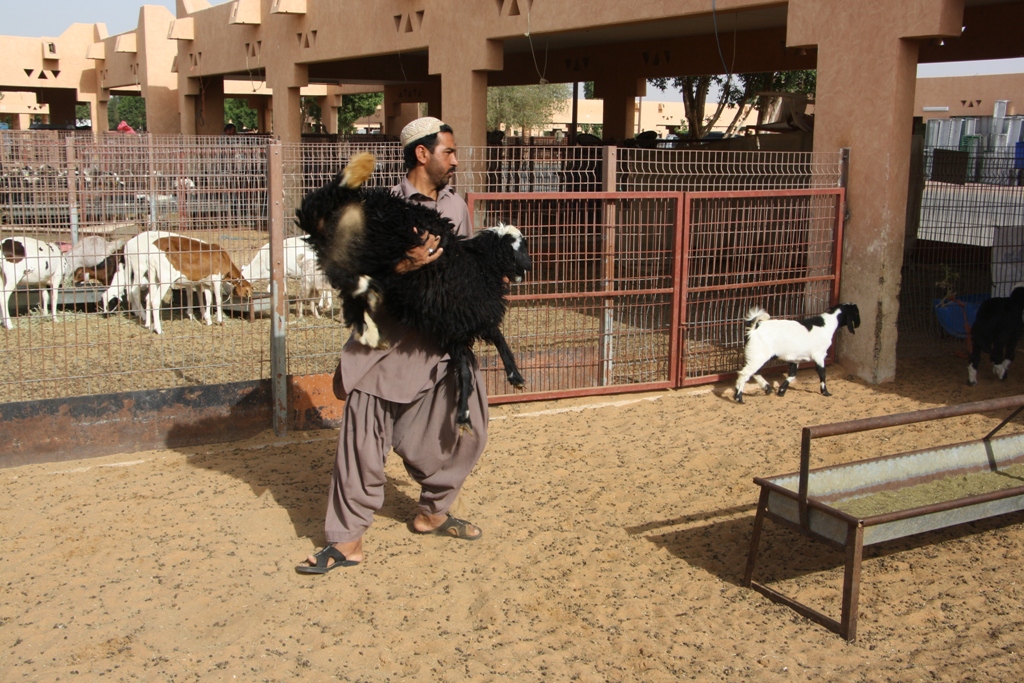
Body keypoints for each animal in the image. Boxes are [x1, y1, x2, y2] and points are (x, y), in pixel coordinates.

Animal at [294, 153, 528, 432]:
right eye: (516, 247)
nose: (527, 270)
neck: (479, 265)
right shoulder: (472, 314)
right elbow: (497, 341)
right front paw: (514, 377)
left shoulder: (457, 329)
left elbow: (468, 369)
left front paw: (464, 415)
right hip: (382, 242)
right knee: (347, 269)